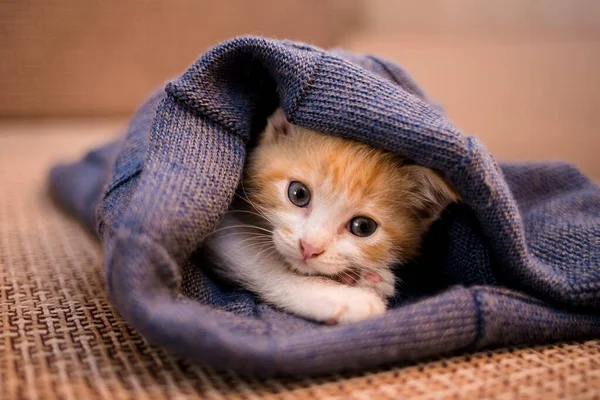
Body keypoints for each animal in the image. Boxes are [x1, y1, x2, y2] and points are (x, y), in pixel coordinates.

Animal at [204, 109, 458, 324]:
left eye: (363, 227)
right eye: (298, 193)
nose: (309, 247)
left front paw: (368, 280)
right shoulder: (222, 226)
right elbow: (264, 264)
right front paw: (344, 298)